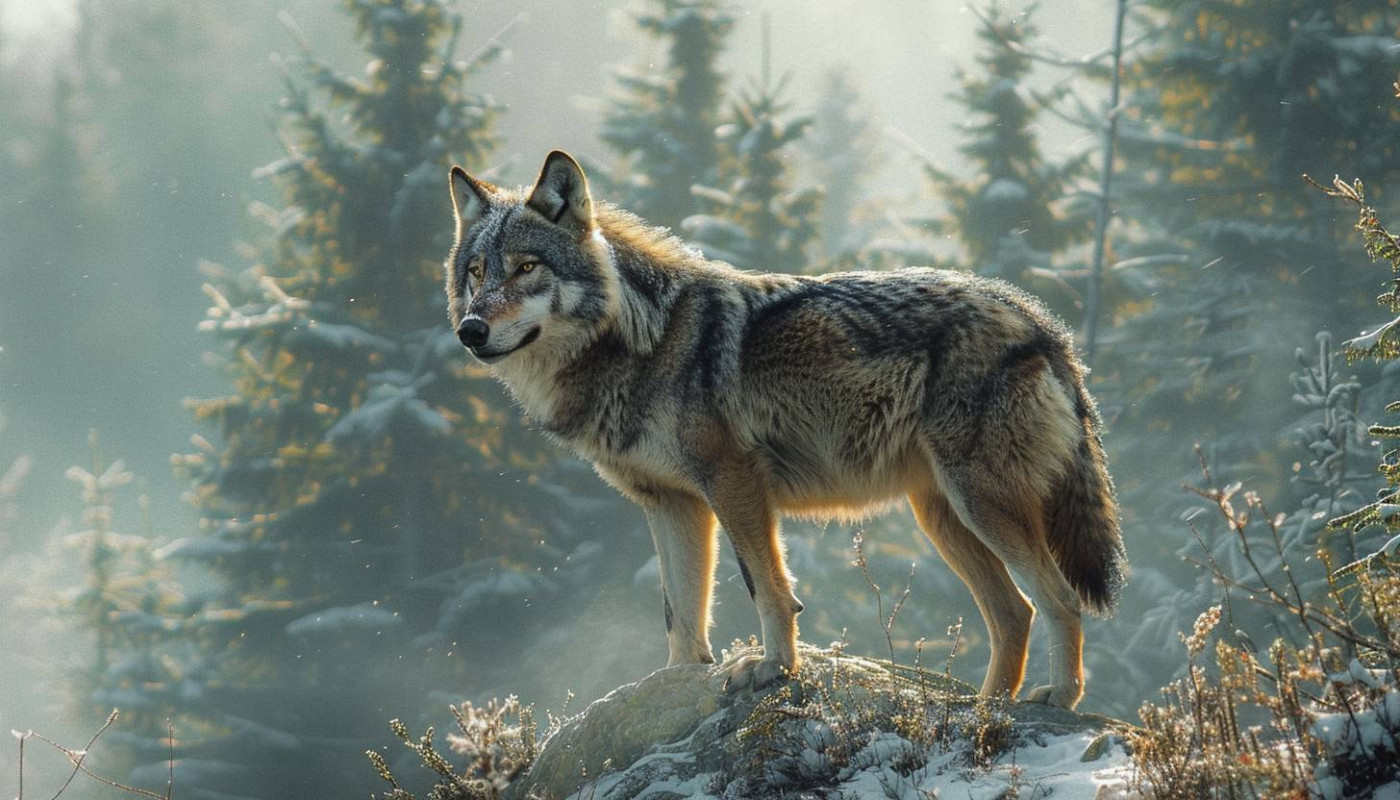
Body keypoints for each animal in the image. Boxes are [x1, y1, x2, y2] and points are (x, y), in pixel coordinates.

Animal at [443, 151, 1126, 709]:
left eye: (527, 267)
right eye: (476, 272)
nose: (470, 330)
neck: (642, 340)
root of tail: (1041, 321)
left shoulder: (734, 483)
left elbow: (767, 588)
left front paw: (774, 668)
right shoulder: (673, 504)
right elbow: (680, 613)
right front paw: (675, 685)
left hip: (980, 505)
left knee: (1059, 600)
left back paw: (1056, 699)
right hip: (943, 517)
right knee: (1015, 613)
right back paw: (986, 708)